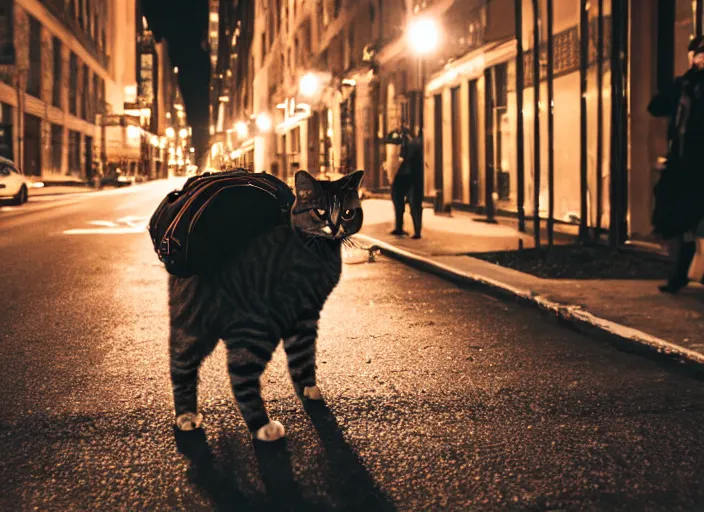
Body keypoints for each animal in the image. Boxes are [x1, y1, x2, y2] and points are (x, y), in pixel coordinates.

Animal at [165, 169, 364, 440]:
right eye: (320, 211)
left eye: (347, 213)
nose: (334, 227)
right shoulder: (304, 313)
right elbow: (303, 353)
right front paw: (308, 390)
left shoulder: (304, 316)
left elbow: (301, 358)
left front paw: (308, 389)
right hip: (257, 327)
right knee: (240, 374)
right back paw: (262, 426)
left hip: (191, 322)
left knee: (180, 364)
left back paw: (185, 416)